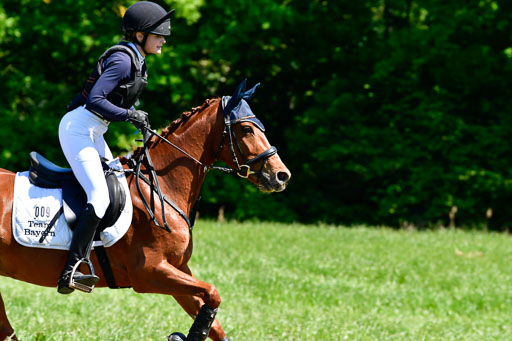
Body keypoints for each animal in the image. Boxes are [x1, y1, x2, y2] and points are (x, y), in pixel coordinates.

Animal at [0, 80, 292, 340]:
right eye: (247, 129)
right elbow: (212, 293)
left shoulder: (178, 269)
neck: (162, 186)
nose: (281, 175)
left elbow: (212, 316)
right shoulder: (149, 272)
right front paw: (186, 336)